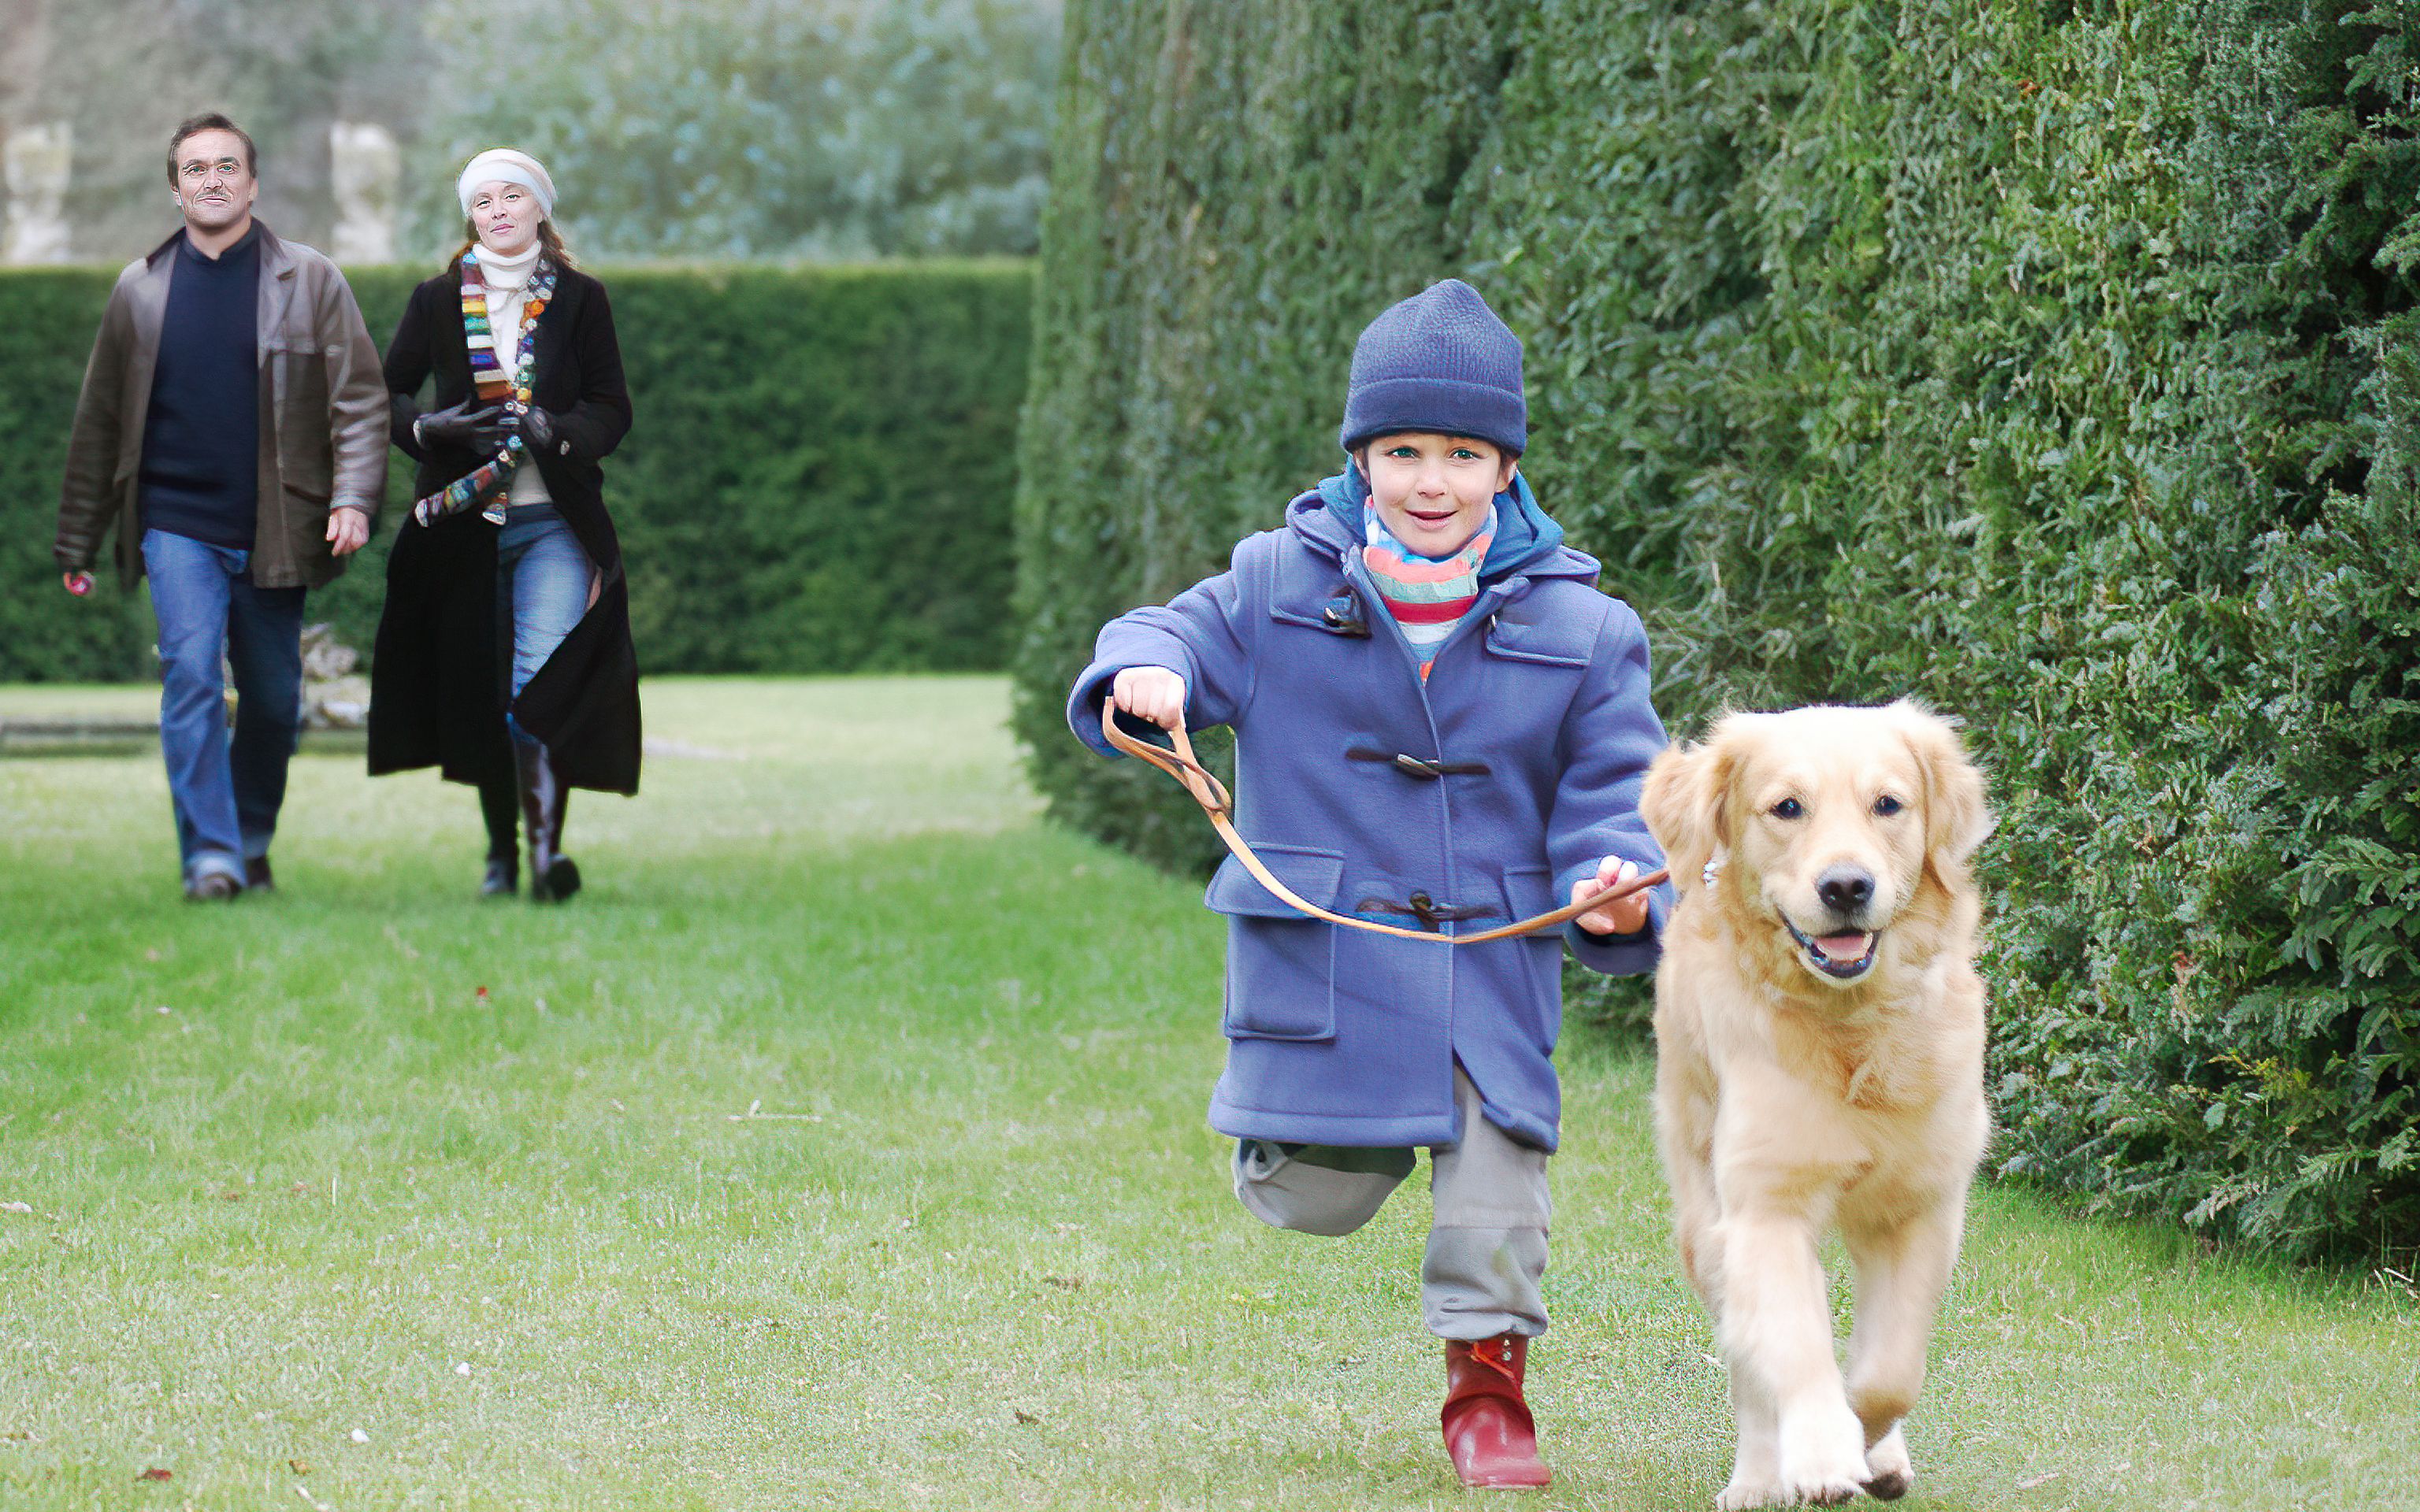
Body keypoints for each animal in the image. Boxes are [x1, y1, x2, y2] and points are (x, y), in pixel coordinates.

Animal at [1645, 701, 1984, 1499]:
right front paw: (1825, 1454)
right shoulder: (1764, 1209)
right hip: (1703, 1220)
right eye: (1787, 808)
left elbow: (1891, 1371)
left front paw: (1870, 1441)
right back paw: (1758, 1478)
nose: (1846, 887)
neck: (1852, 1028)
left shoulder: (1922, 1206)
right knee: (1748, 1368)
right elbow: (1794, 1350)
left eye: (1888, 804)